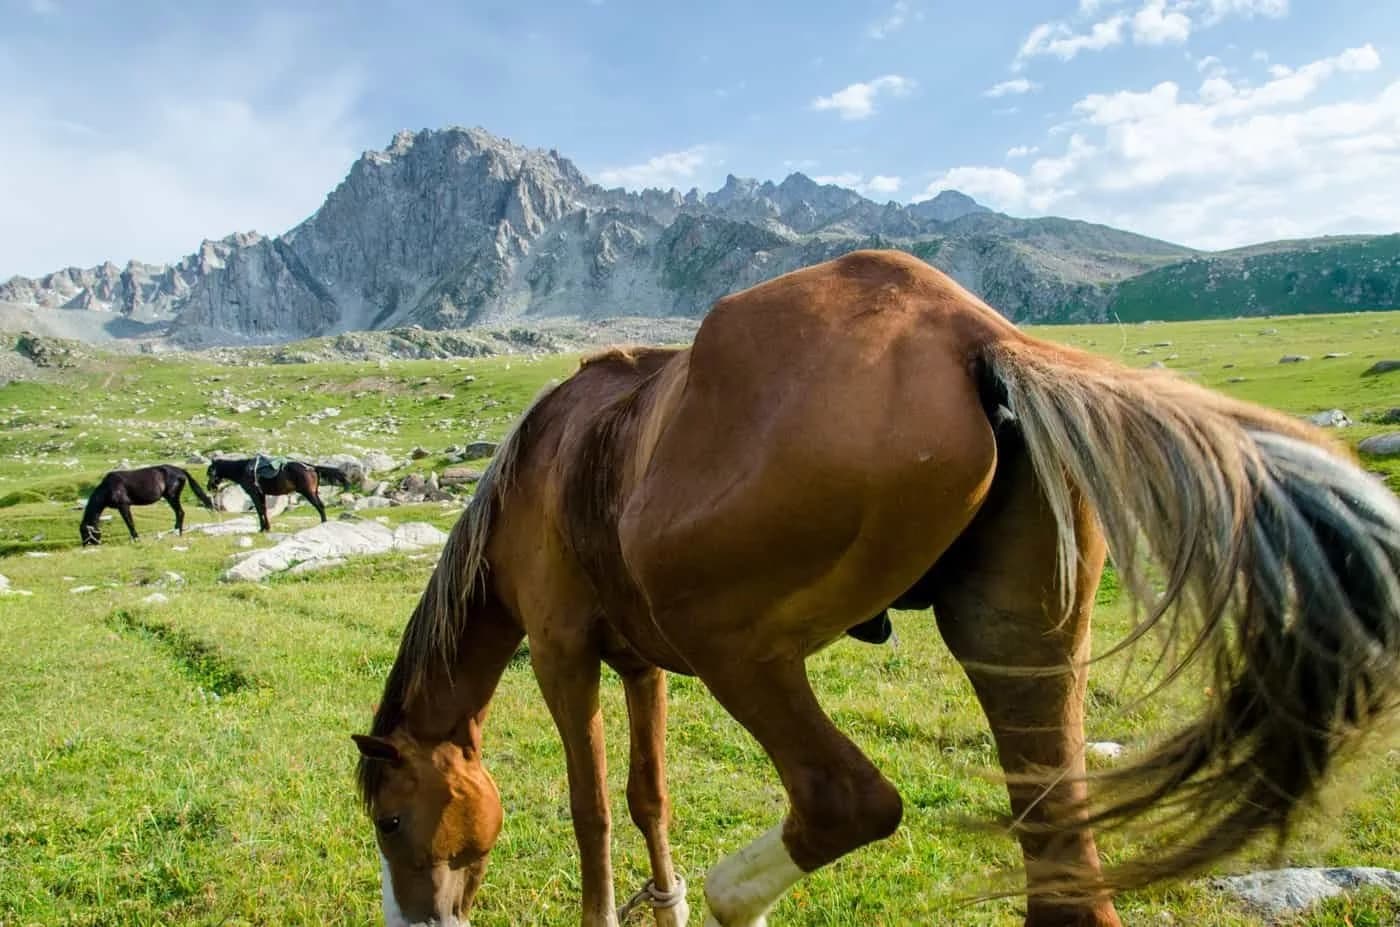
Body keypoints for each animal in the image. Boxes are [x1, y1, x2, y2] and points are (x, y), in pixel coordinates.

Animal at [79, 464, 214, 545]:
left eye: (84, 532)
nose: (86, 546)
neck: (108, 488)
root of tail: (181, 470)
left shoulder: (124, 506)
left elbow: (130, 523)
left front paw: (136, 538)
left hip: (172, 497)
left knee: (180, 512)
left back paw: (178, 533)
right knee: (179, 513)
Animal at [205, 457, 350, 532]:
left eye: (209, 472)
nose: (208, 486)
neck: (242, 470)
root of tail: (312, 467)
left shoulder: (254, 494)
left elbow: (260, 510)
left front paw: (262, 529)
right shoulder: (262, 494)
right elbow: (264, 510)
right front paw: (267, 528)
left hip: (308, 492)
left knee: (319, 506)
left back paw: (323, 524)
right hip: (313, 492)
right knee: (321, 505)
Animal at [352, 250, 1400, 927]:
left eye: (391, 818)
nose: (414, 924)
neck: (544, 463)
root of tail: (976, 336)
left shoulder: (566, 658)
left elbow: (594, 810)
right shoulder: (640, 667)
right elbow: (649, 795)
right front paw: (668, 899)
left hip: (739, 651)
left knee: (847, 803)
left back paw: (739, 896)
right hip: (1015, 650)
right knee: (1061, 869)